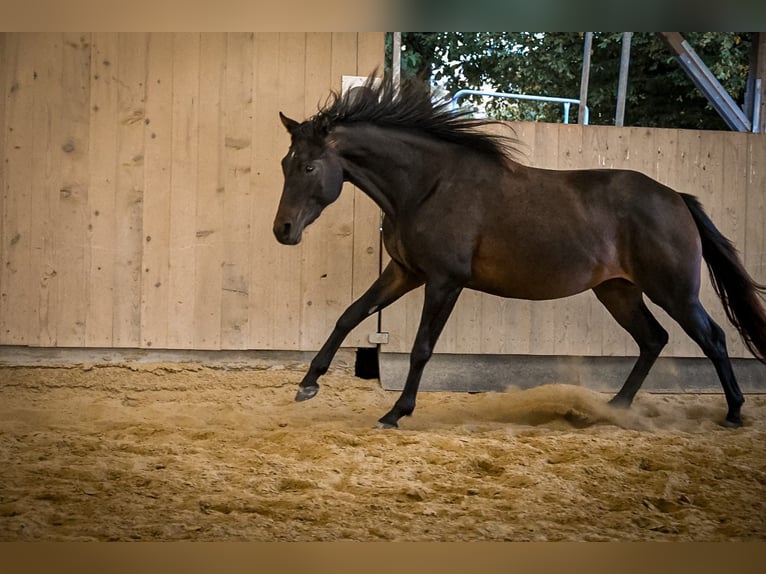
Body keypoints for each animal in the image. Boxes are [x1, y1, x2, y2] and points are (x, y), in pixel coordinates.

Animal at [276, 74, 766, 430]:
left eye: (310, 166)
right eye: (285, 163)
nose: (283, 230)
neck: (427, 186)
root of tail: (677, 198)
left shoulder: (444, 282)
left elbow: (421, 348)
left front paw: (396, 412)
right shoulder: (404, 272)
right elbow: (349, 316)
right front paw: (307, 384)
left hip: (674, 292)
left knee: (712, 338)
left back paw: (734, 413)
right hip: (618, 290)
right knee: (653, 339)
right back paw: (612, 408)